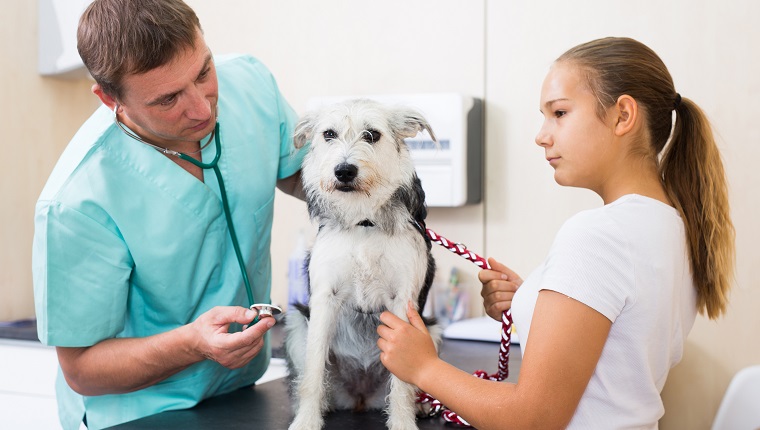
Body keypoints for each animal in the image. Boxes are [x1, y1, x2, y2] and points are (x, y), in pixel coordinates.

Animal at [284, 98, 440, 430]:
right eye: (329, 134)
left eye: (372, 135)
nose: (344, 170)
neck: (363, 221)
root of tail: (359, 398)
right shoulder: (323, 299)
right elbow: (313, 373)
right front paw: (306, 420)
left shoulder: (403, 302)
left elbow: (403, 382)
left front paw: (403, 422)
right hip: (296, 321)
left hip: (432, 331)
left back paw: (420, 405)